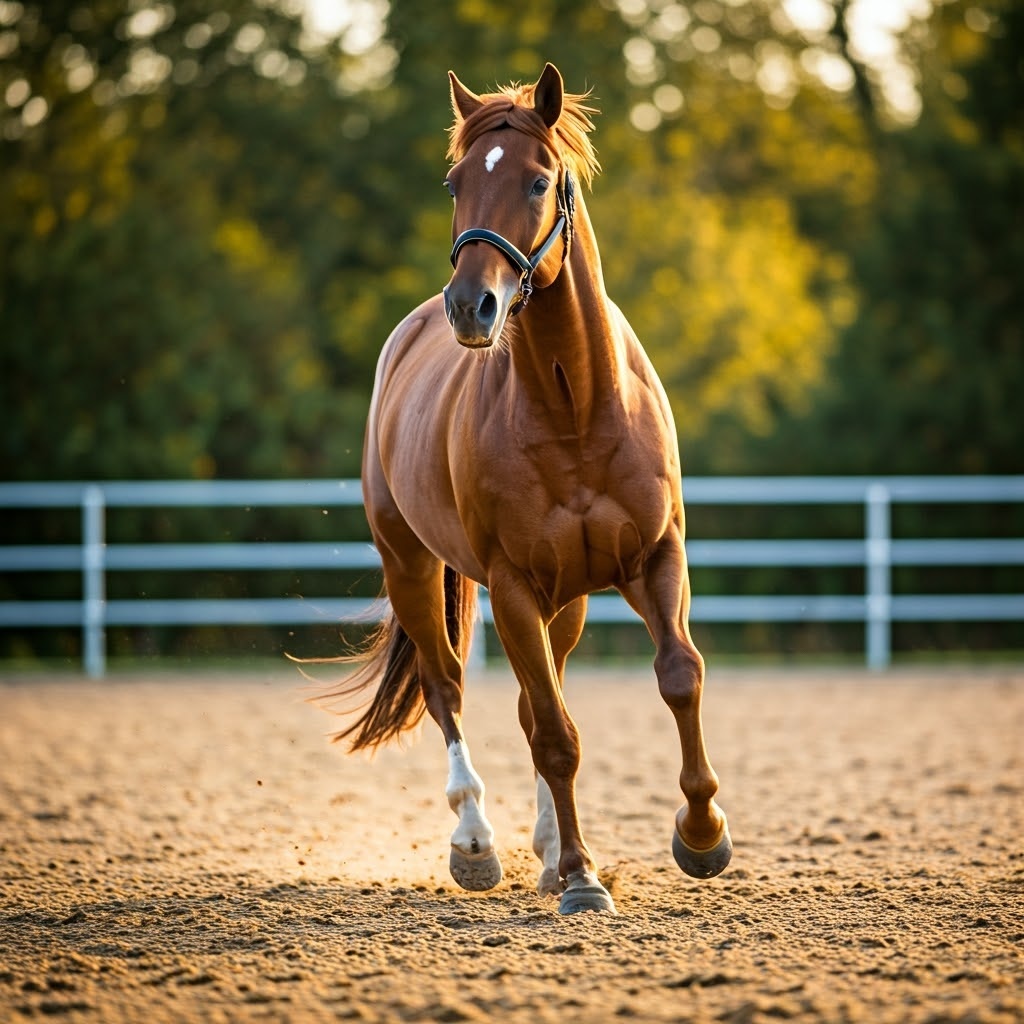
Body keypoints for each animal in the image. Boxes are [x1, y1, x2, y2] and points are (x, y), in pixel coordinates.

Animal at [309, 61, 729, 913]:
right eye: (455, 182)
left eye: (539, 181)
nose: (471, 306)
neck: (578, 408)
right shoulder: (510, 587)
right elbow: (555, 735)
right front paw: (582, 880)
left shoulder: (655, 561)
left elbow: (679, 675)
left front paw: (701, 835)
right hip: (413, 568)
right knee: (449, 690)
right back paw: (478, 844)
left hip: (565, 602)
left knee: (539, 697)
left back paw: (545, 849)